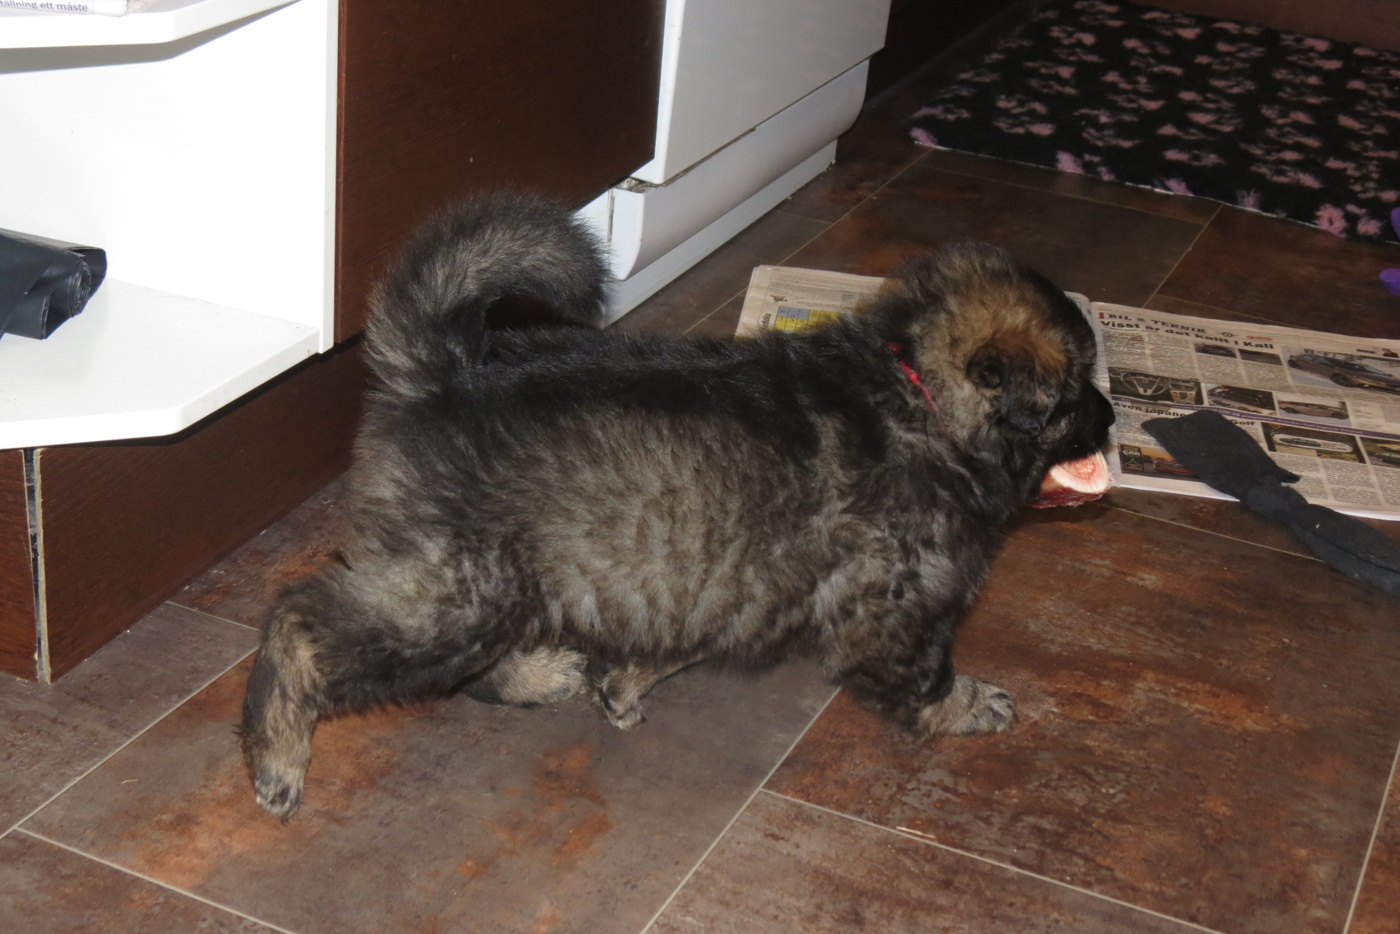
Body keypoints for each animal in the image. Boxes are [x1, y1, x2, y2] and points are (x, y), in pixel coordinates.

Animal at [240, 192, 1114, 820]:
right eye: (1073, 395)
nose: (1111, 420)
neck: (918, 395)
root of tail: (440, 373)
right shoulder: (899, 614)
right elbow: (927, 679)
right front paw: (969, 707)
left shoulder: (715, 583)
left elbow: (672, 645)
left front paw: (622, 687)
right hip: (457, 595)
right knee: (301, 622)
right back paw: (277, 755)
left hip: (506, 579)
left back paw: (542, 674)